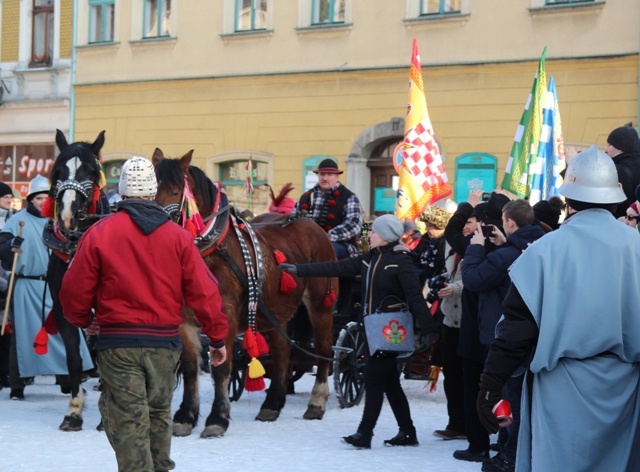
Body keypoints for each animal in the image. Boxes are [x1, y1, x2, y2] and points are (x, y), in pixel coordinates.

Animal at [152, 149, 338, 436]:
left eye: (175, 191)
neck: (210, 251)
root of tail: (311, 226)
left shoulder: (225, 315)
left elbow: (221, 368)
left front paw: (217, 418)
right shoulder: (184, 319)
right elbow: (192, 368)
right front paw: (185, 417)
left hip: (321, 303)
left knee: (324, 348)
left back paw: (316, 402)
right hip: (275, 309)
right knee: (282, 351)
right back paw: (272, 404)